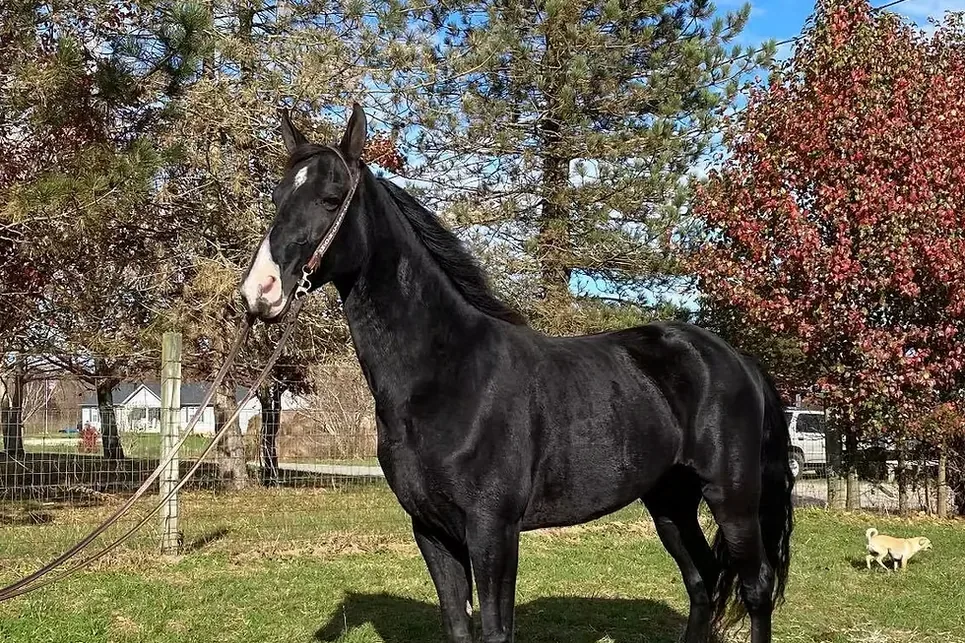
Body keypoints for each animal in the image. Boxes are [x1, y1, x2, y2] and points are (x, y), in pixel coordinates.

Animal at [239, 104, 793, 643]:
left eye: (331, 198)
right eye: (277, 196)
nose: (259, 292)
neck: (449, 374)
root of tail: (737, 360)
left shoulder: (492, 530)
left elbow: (495, 629)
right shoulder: (431, 530)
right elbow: (458, 626)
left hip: (732, 498)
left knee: (754, 588)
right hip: (670, 500)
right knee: (702, 582)